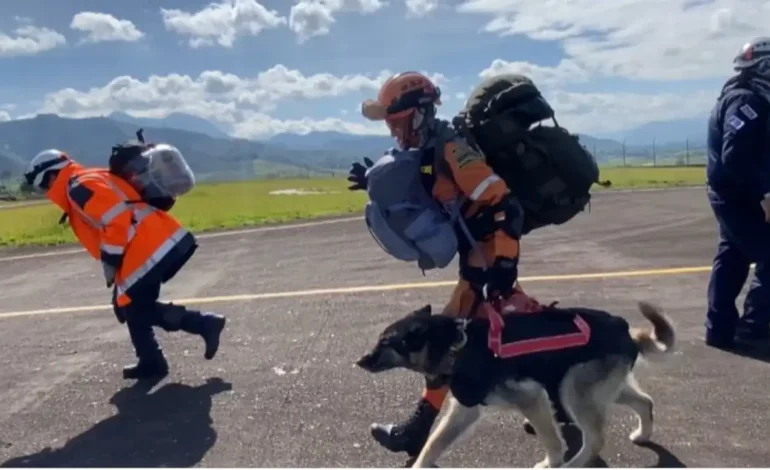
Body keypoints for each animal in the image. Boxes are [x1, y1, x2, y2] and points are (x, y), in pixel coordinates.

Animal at [354, 300, 672, 468]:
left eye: (385, 343)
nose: (359, 360)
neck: (457, 346)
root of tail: (626, 331)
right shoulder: (465, 408)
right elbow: (434, 442)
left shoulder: (532, 398)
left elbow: (552, 441)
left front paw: (552, 463)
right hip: (601, 389)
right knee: (646, 402)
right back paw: (643, 433)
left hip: (572, 391)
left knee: (595, 438)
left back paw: (573, 464)